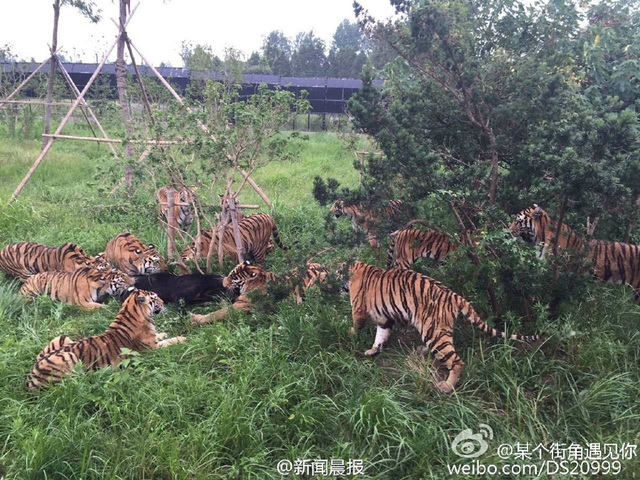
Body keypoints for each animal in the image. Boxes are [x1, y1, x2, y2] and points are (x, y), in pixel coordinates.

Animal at [25, 288, 185, 390]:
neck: (130, 309)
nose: (163, 302)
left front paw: (164, 333)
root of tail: (30, 376)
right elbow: (169, 342)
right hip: (69, 356)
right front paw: (182, 338)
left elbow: (160, 335)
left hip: (62, 338)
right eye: (155, 298)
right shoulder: (152, 349)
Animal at [189, 260, 330, 324]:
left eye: (233, 277)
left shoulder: (240, 307)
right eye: (230, 273)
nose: (223, 282)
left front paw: (194, 318)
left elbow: (216, 313)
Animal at [348, 262, 536, 394]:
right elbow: (381, 334)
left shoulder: (358, 308)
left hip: (434, 331)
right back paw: (422, 351)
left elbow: (358, 324)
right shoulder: (384, 318)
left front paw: (351, 333)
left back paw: (446, 386)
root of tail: (455, 296)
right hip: (435, 330)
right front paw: (373, 350)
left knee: (457, 361)